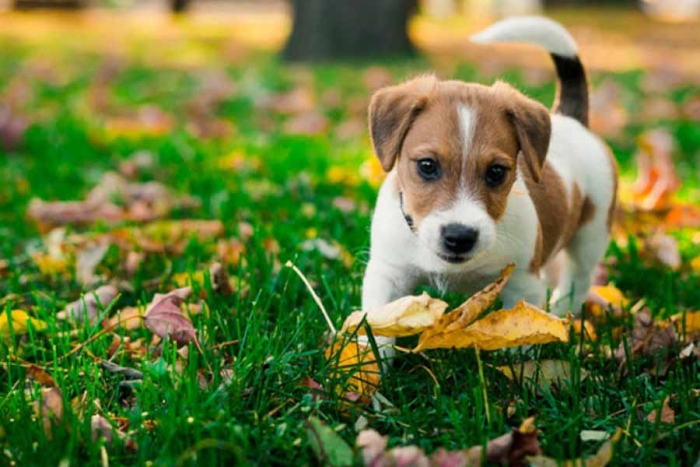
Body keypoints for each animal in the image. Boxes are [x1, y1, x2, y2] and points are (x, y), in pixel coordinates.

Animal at [360, 17, 616, 340]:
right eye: (427, 166)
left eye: (496, 172)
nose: (459, 237)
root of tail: (571, 119)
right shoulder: (387, 276)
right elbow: (380, 329)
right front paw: (370, 355)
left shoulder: (523, 285)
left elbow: (523, 336)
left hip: (591, 235)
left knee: (577, 279)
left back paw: (560, 316)